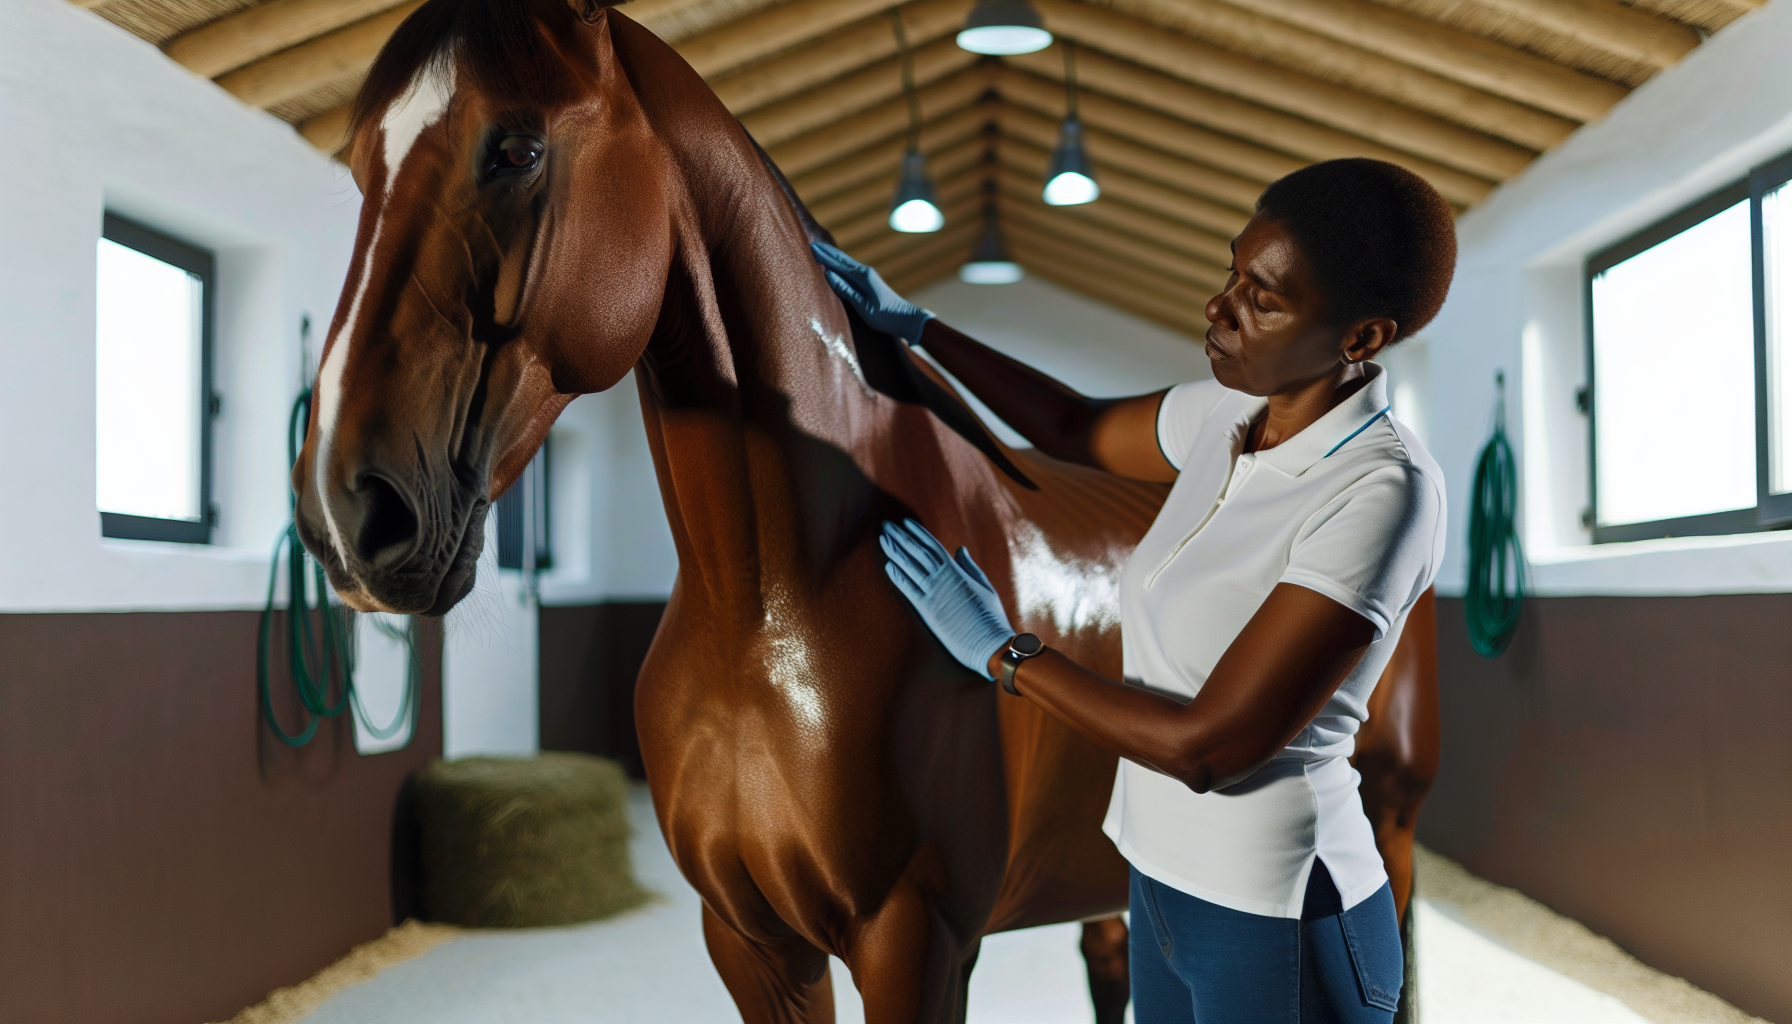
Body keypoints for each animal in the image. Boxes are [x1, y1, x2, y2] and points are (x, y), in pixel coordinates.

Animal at [290, 4, 1440, 1018]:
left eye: (517, 149)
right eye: (357, 168)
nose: (349, 513)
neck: (769, 601)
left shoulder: (916, 942)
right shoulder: (750, 941)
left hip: (1387, 831)